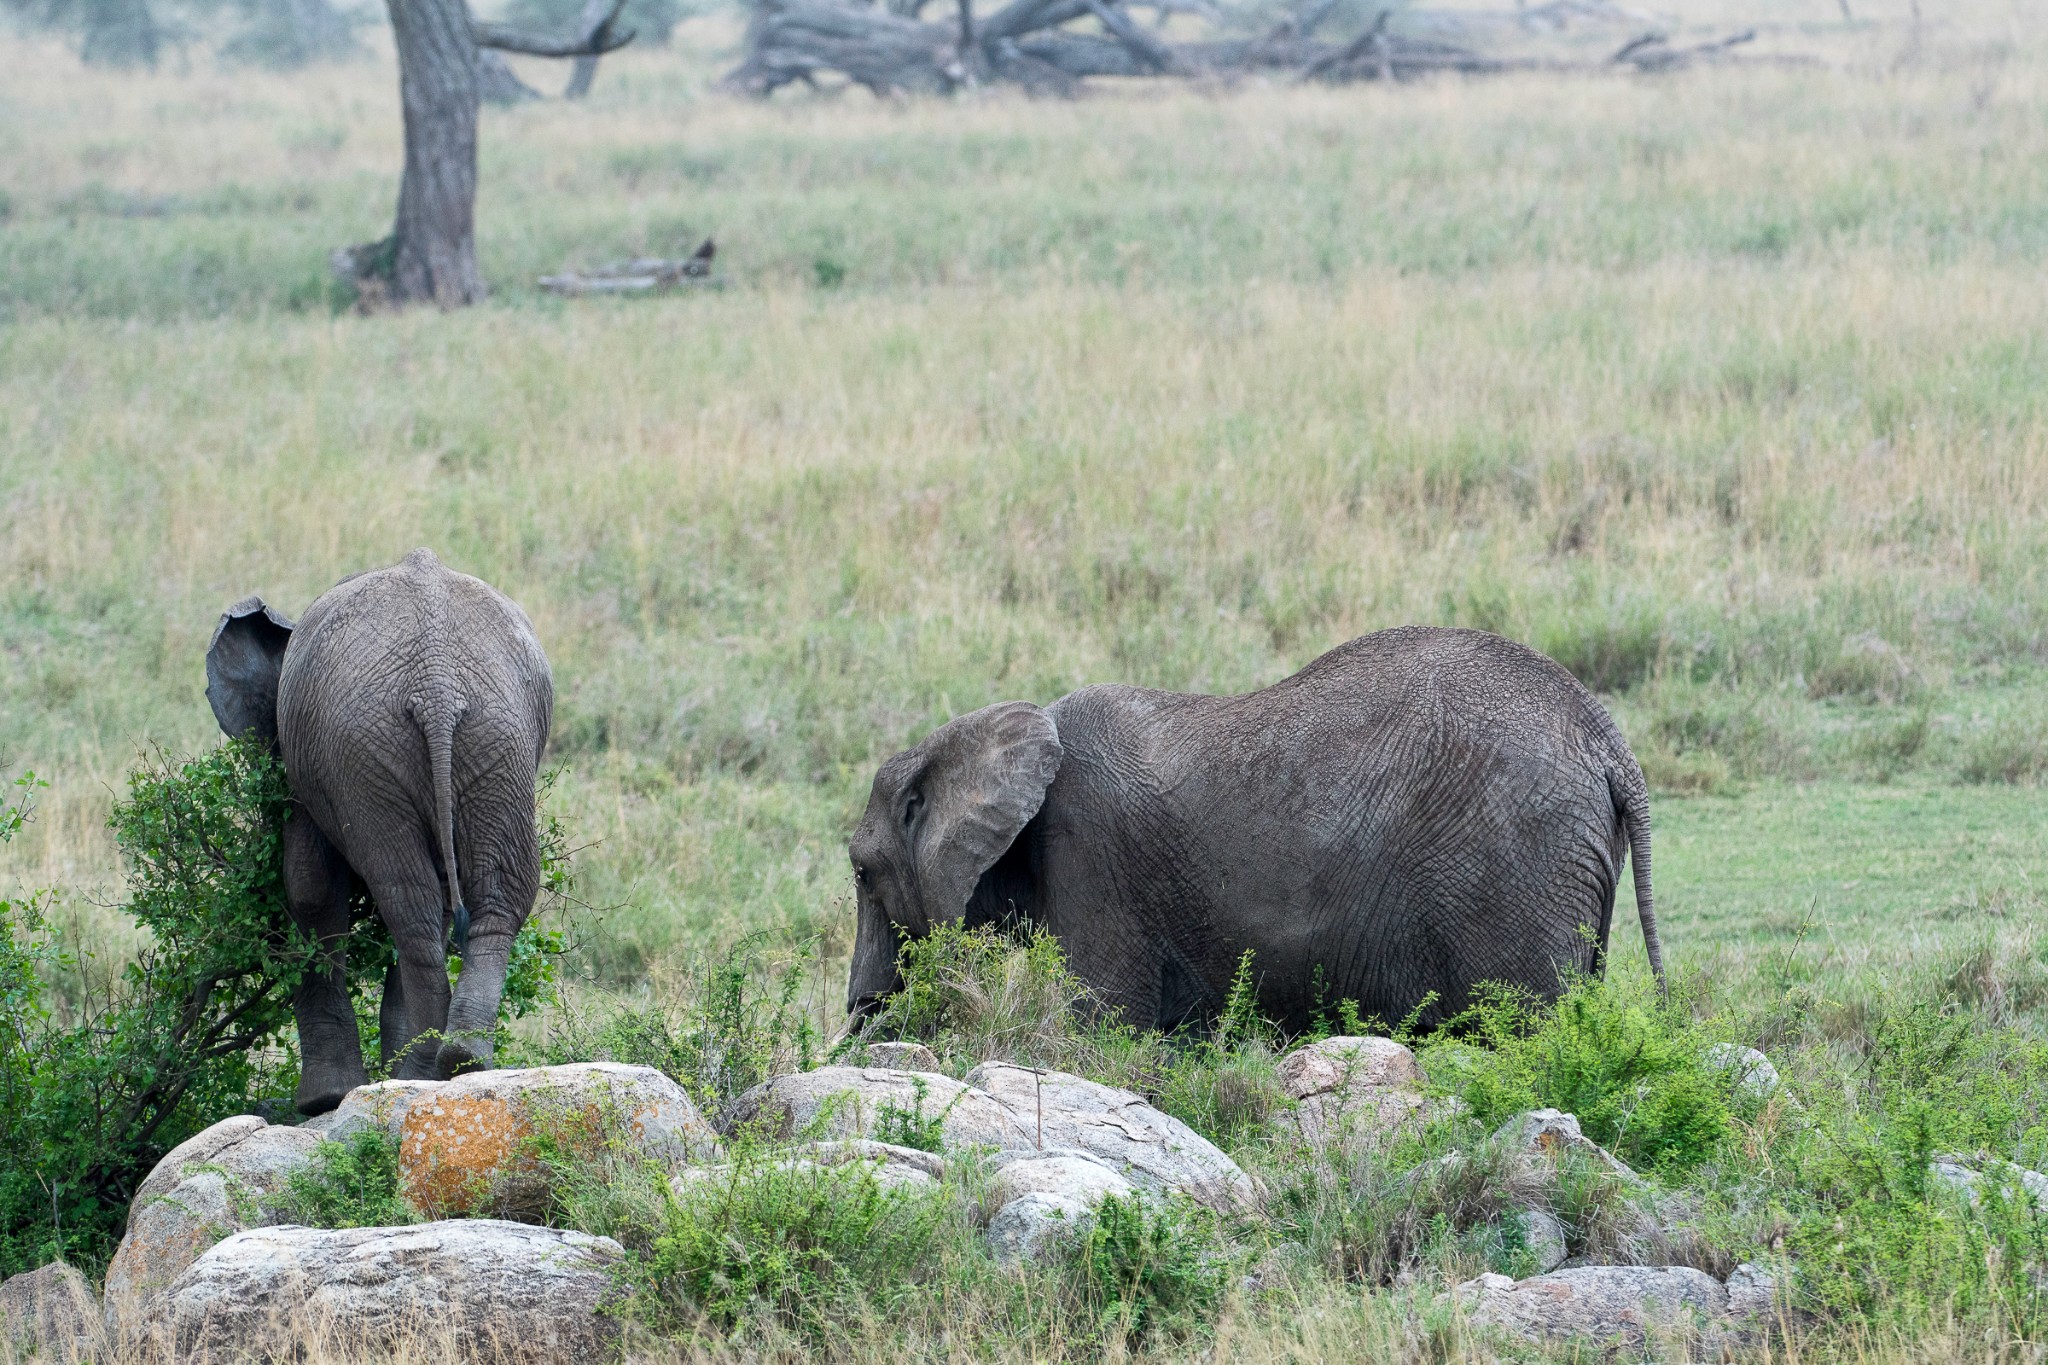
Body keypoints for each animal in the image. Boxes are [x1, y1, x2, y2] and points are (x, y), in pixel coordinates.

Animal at [205, 544, 552, 1113]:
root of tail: (437, 684)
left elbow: (307, 888)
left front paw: (322, 1102)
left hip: (375, 751)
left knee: (409, 904)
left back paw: (426, 1071)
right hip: (492, 741)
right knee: (473, 898)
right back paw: (459, 1063)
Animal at [847, 626, 1662, 1035]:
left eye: (860, 870)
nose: (866, 1018)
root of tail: (1607, 740)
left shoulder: (1089, 858)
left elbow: (1102, 1027)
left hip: (1520, 858)